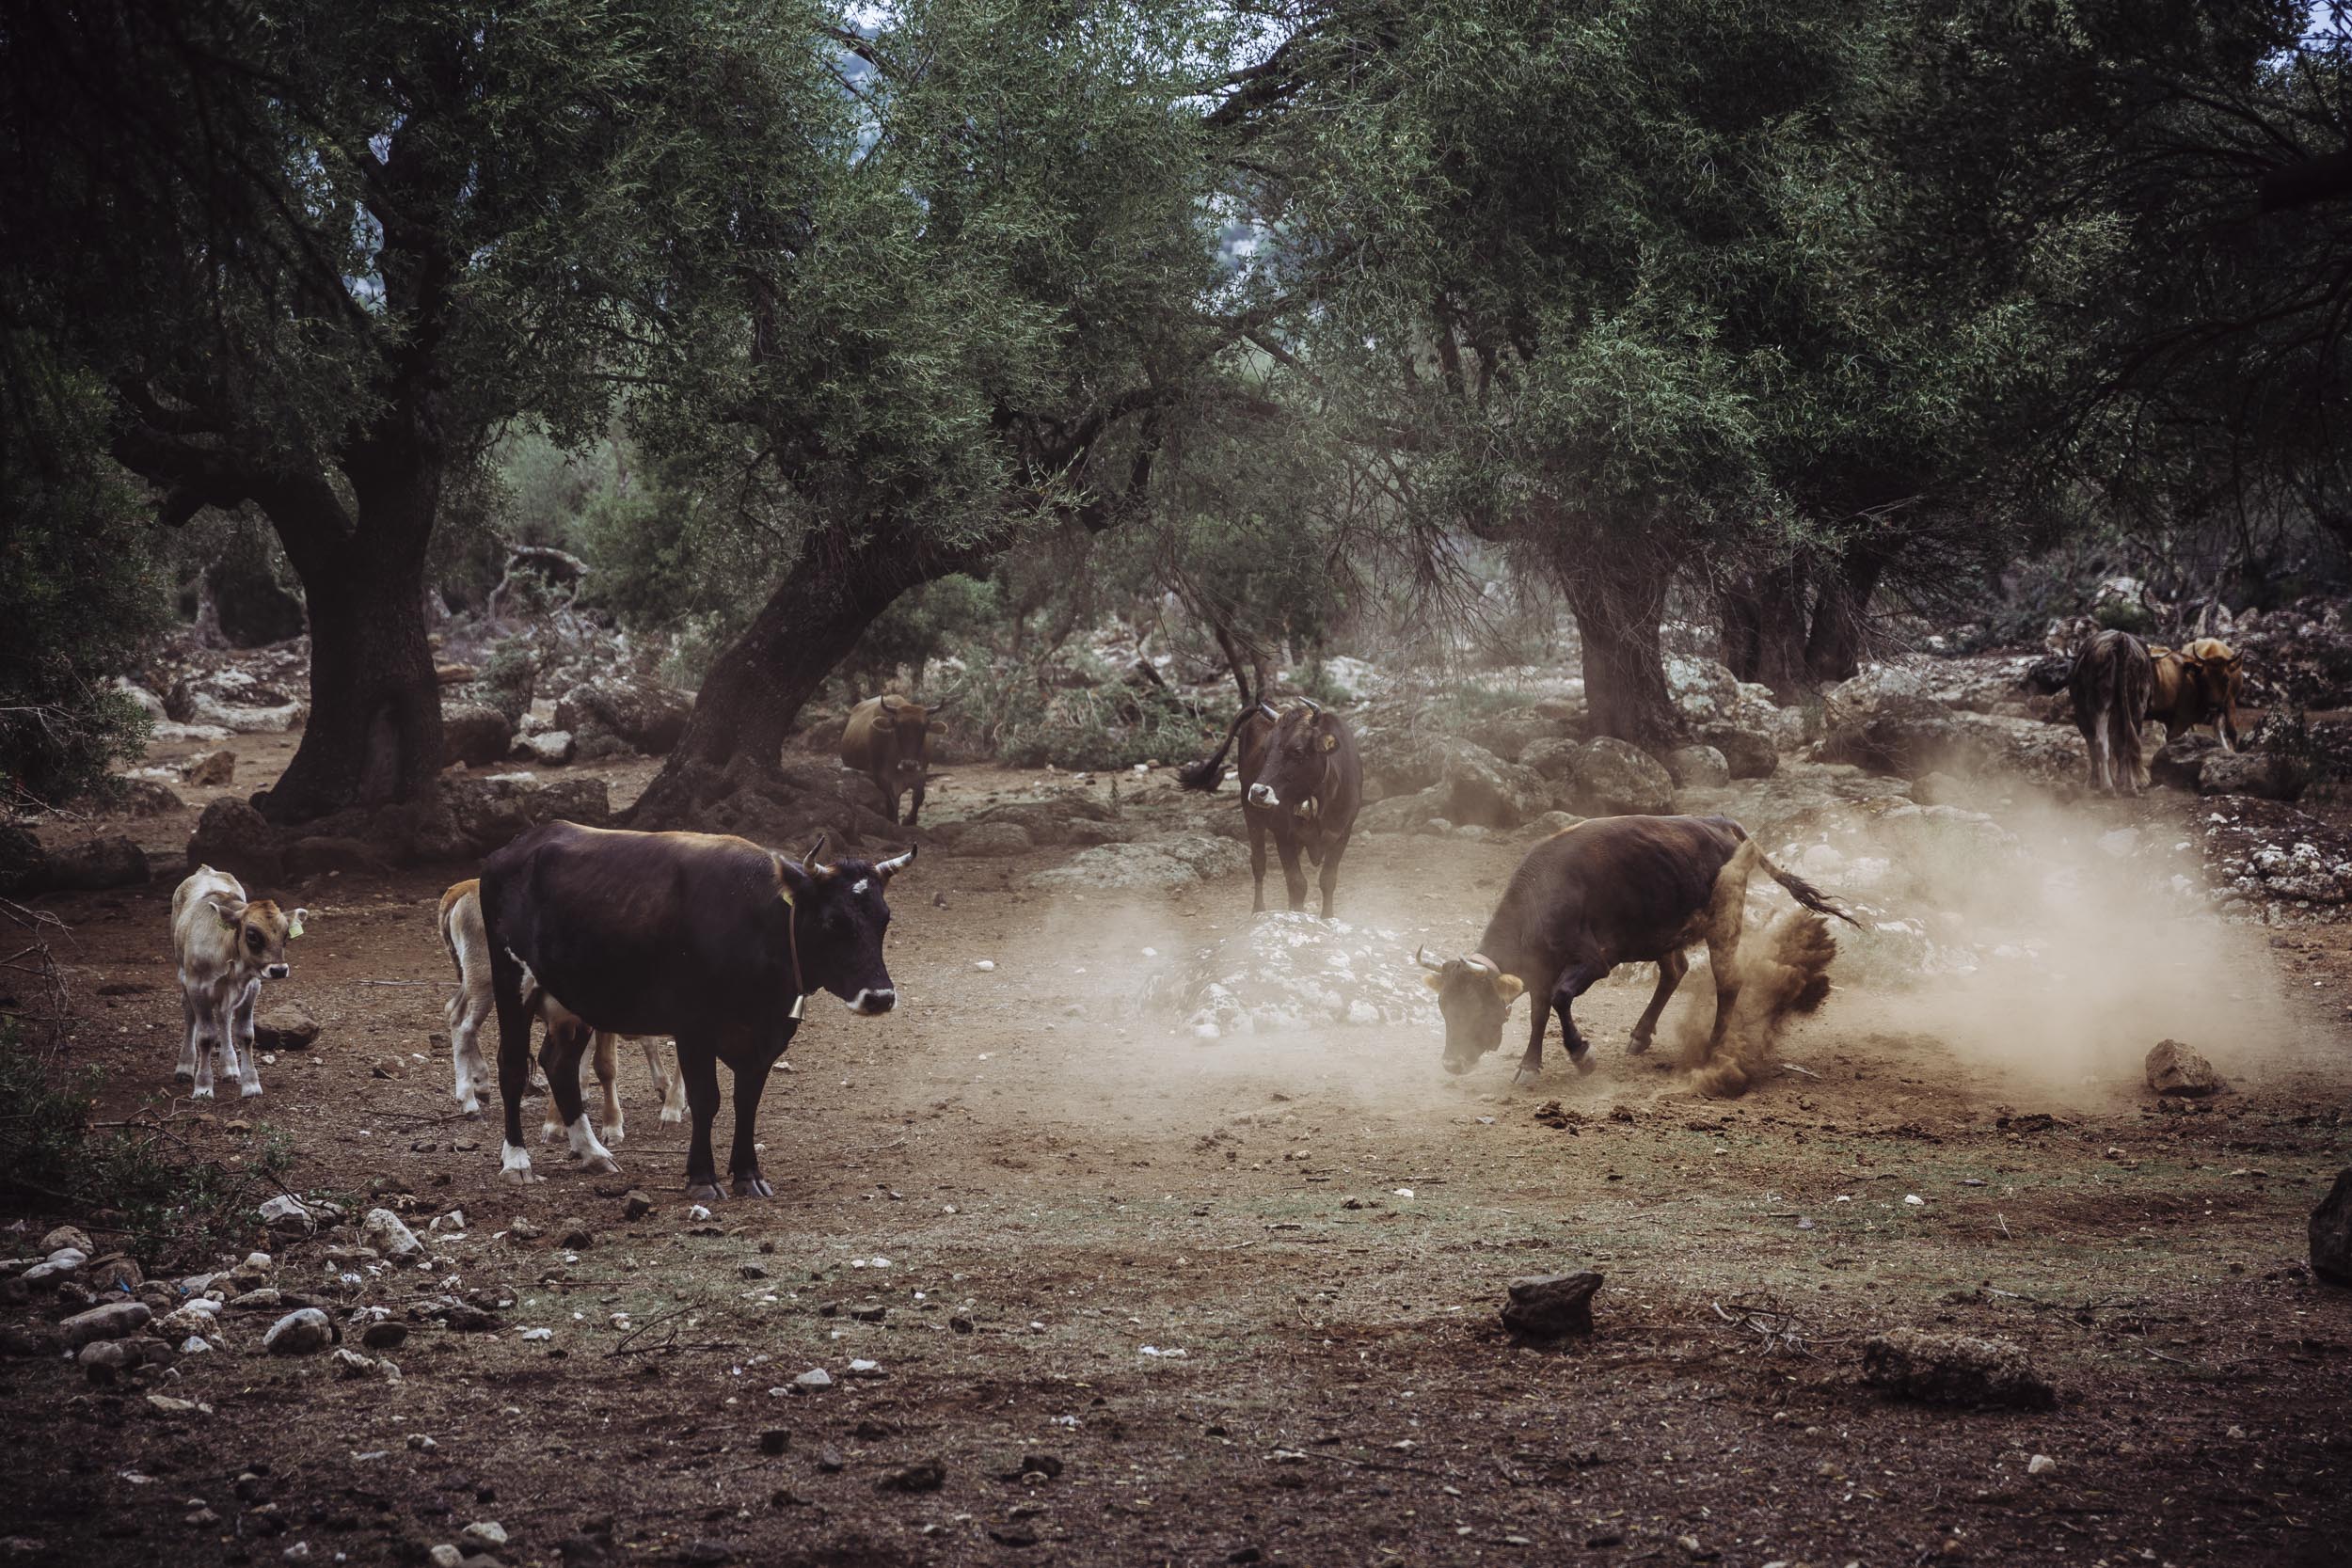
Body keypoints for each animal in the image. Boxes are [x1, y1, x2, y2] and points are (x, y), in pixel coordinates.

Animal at [170, 869, 306, 1104]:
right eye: (252, 935)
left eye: (286, 935)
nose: (279, 970)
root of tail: (205, 869)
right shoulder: (197, 987)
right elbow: (205, 1037)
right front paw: (203, 1087)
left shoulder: (252, 987)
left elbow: (246, 1034)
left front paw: (251, 1084)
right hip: (183, 973)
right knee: (189, 1014)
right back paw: (185, 1066)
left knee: (224, 1017)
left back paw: (230, 1068)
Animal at [842, 690, 950, 827]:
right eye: (898, 727)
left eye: (923, 728)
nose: (909, 764)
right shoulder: (882, 779)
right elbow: (892, 804)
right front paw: (894, 821)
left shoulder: (920, 775)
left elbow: (918, 798)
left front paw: (909, 821)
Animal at [1176, 695, 1364, 921]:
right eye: (1265, 751)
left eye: (1297, 751)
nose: (1258, 792)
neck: (1321, 797)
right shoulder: (1283, 834)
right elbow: (1297, 884)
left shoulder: (1343, 832)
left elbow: (1327, 880)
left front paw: (1327, 917)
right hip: (1252, 816)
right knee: (1259, 864)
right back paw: (1258, 910)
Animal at [1411, 817, 1853, 1100]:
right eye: (1444, 1007)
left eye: (1475, 1007)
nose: (1451, 1064)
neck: (1544, 895)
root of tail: (1718, 822)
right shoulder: (1539, 970)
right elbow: (1539, 1014)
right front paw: (1529, 1066)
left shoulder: (1593, 963)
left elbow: (1560, 999)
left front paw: (1582, 1055)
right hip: (1664, 933)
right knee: (1675, 971)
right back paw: (1641, 1035)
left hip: (1723, 922)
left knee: (1727, 980)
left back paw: (1712, 1049)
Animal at [2070, 629, 2154, 799]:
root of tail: (2120, 638)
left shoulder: (2082, 715)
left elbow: (2094, 745)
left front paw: (2093, 781)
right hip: (2137, 705)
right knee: (2127, 742)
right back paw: (2129, 786)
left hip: (2101, 703)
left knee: (2100, 742)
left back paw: (2108, 787)